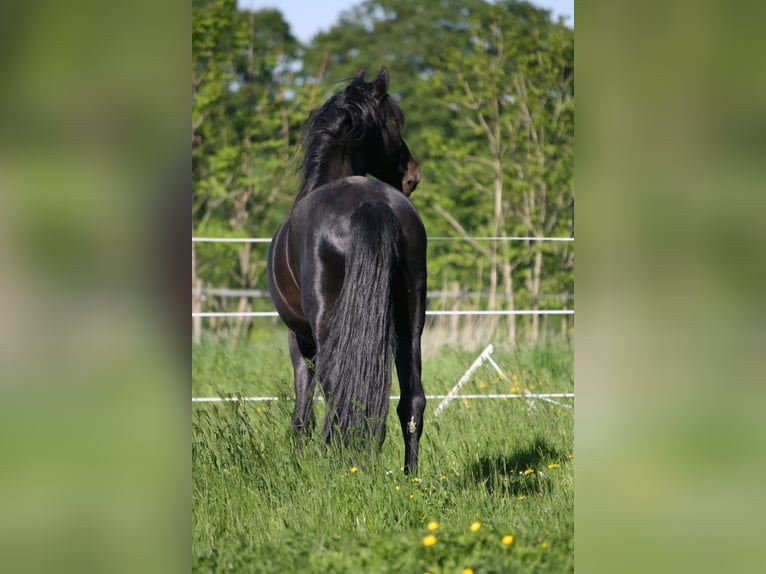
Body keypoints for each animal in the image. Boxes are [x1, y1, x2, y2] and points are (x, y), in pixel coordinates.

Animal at [268, 67, 428, 474]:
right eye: (394, 122)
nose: (413, 175)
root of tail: (375, 204)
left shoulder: (298, 339)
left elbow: (302, 412)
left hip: (324, 330)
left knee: (337, 393)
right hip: (411, 324)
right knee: (411, 401)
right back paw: (409, 476)